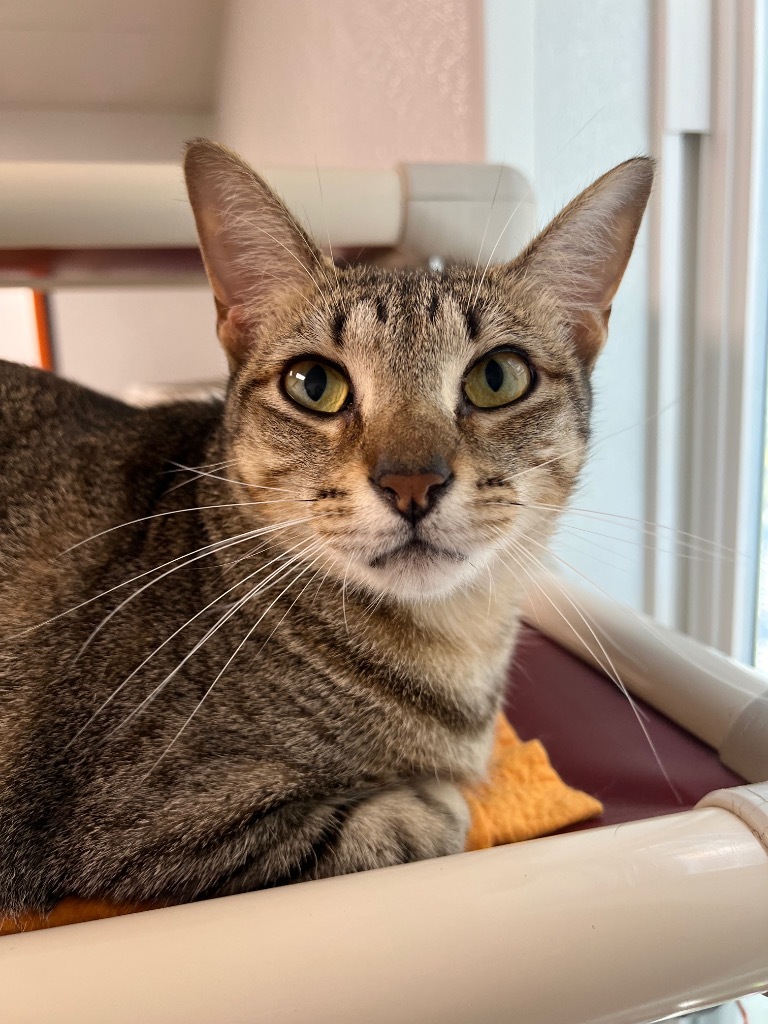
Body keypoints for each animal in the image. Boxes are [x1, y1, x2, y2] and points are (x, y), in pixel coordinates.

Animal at [0, 142, 655, 913]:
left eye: (497, 377)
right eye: (315, 384)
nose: (412, 482)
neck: (455, 647)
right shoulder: (149, 822)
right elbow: (421, 818)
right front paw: (439, 799)